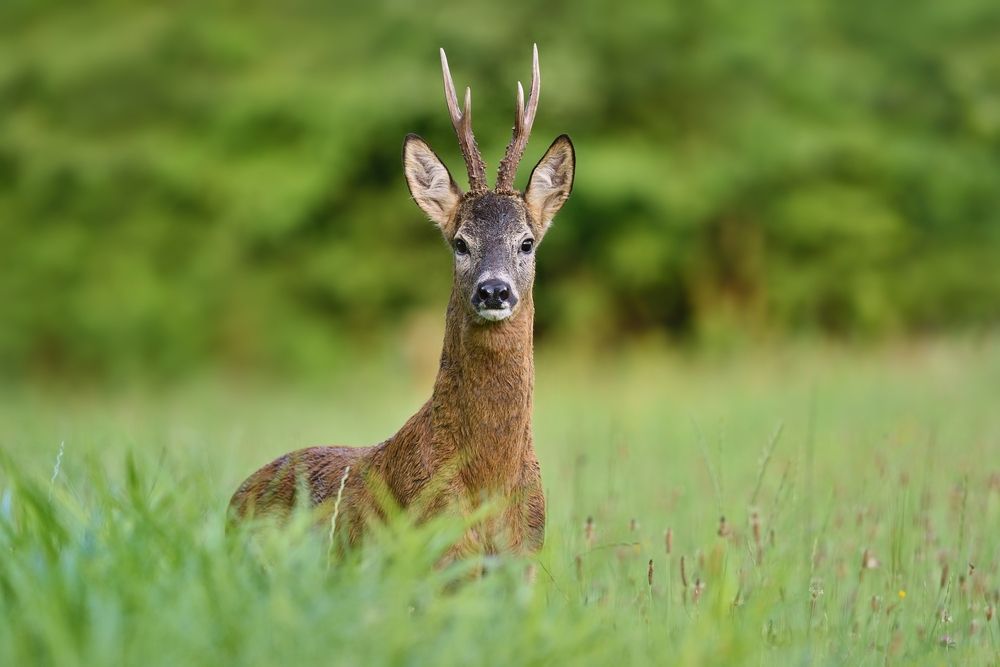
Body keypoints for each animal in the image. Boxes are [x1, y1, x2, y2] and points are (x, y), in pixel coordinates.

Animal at [228, 45, 575, 560]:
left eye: (527, 242)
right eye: (460, 242)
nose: (494, 290)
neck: (489, 482)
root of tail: (232, 502)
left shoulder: (526, 554)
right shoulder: (433, 547)